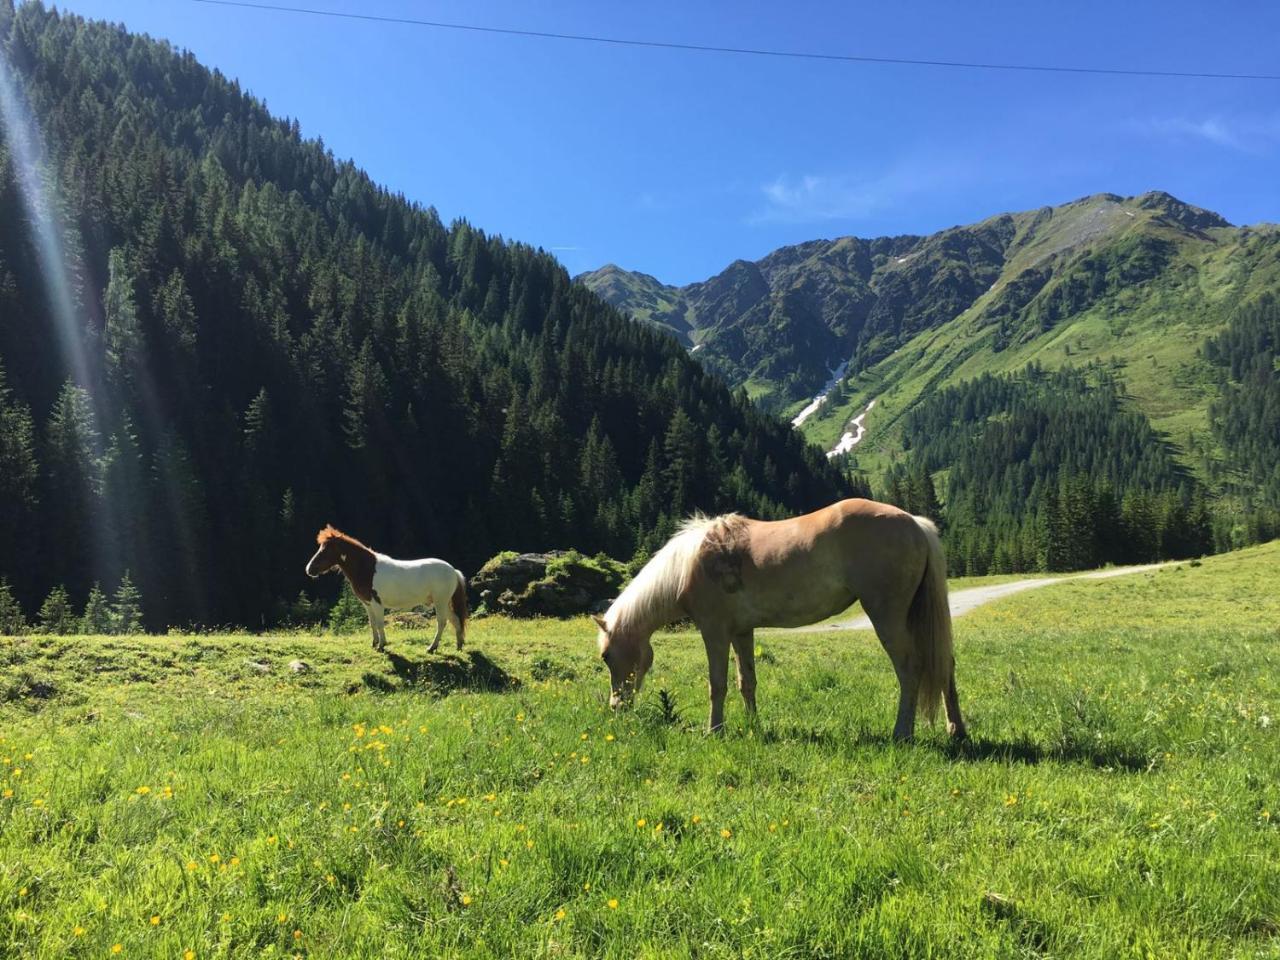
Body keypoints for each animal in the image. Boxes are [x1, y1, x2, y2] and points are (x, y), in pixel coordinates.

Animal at [303, 527, 465, 655]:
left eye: (325, 549)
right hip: (443, 602)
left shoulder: (377, 604)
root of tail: (453, 571)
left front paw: (381, 645)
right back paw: (459, 646)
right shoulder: (367, 604)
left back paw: (432, 647)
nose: (309, 569)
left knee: (442, 622)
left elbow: (380, 623)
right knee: (455, 620)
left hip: (440, 602)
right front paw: (374, 643)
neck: (367, 569)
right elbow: (373, 623)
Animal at [593, 499, 962, 742]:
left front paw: (714, 730)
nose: (616, 707)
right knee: (944, 663)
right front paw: (753, 726)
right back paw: (956, 730)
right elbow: (746, 681)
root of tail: (915, 523)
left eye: (606, 656)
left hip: (887, 616)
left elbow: (717, 684)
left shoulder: (715, 632)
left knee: (910, 668)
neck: (691, 565)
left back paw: (902, 733)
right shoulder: (742, 632)